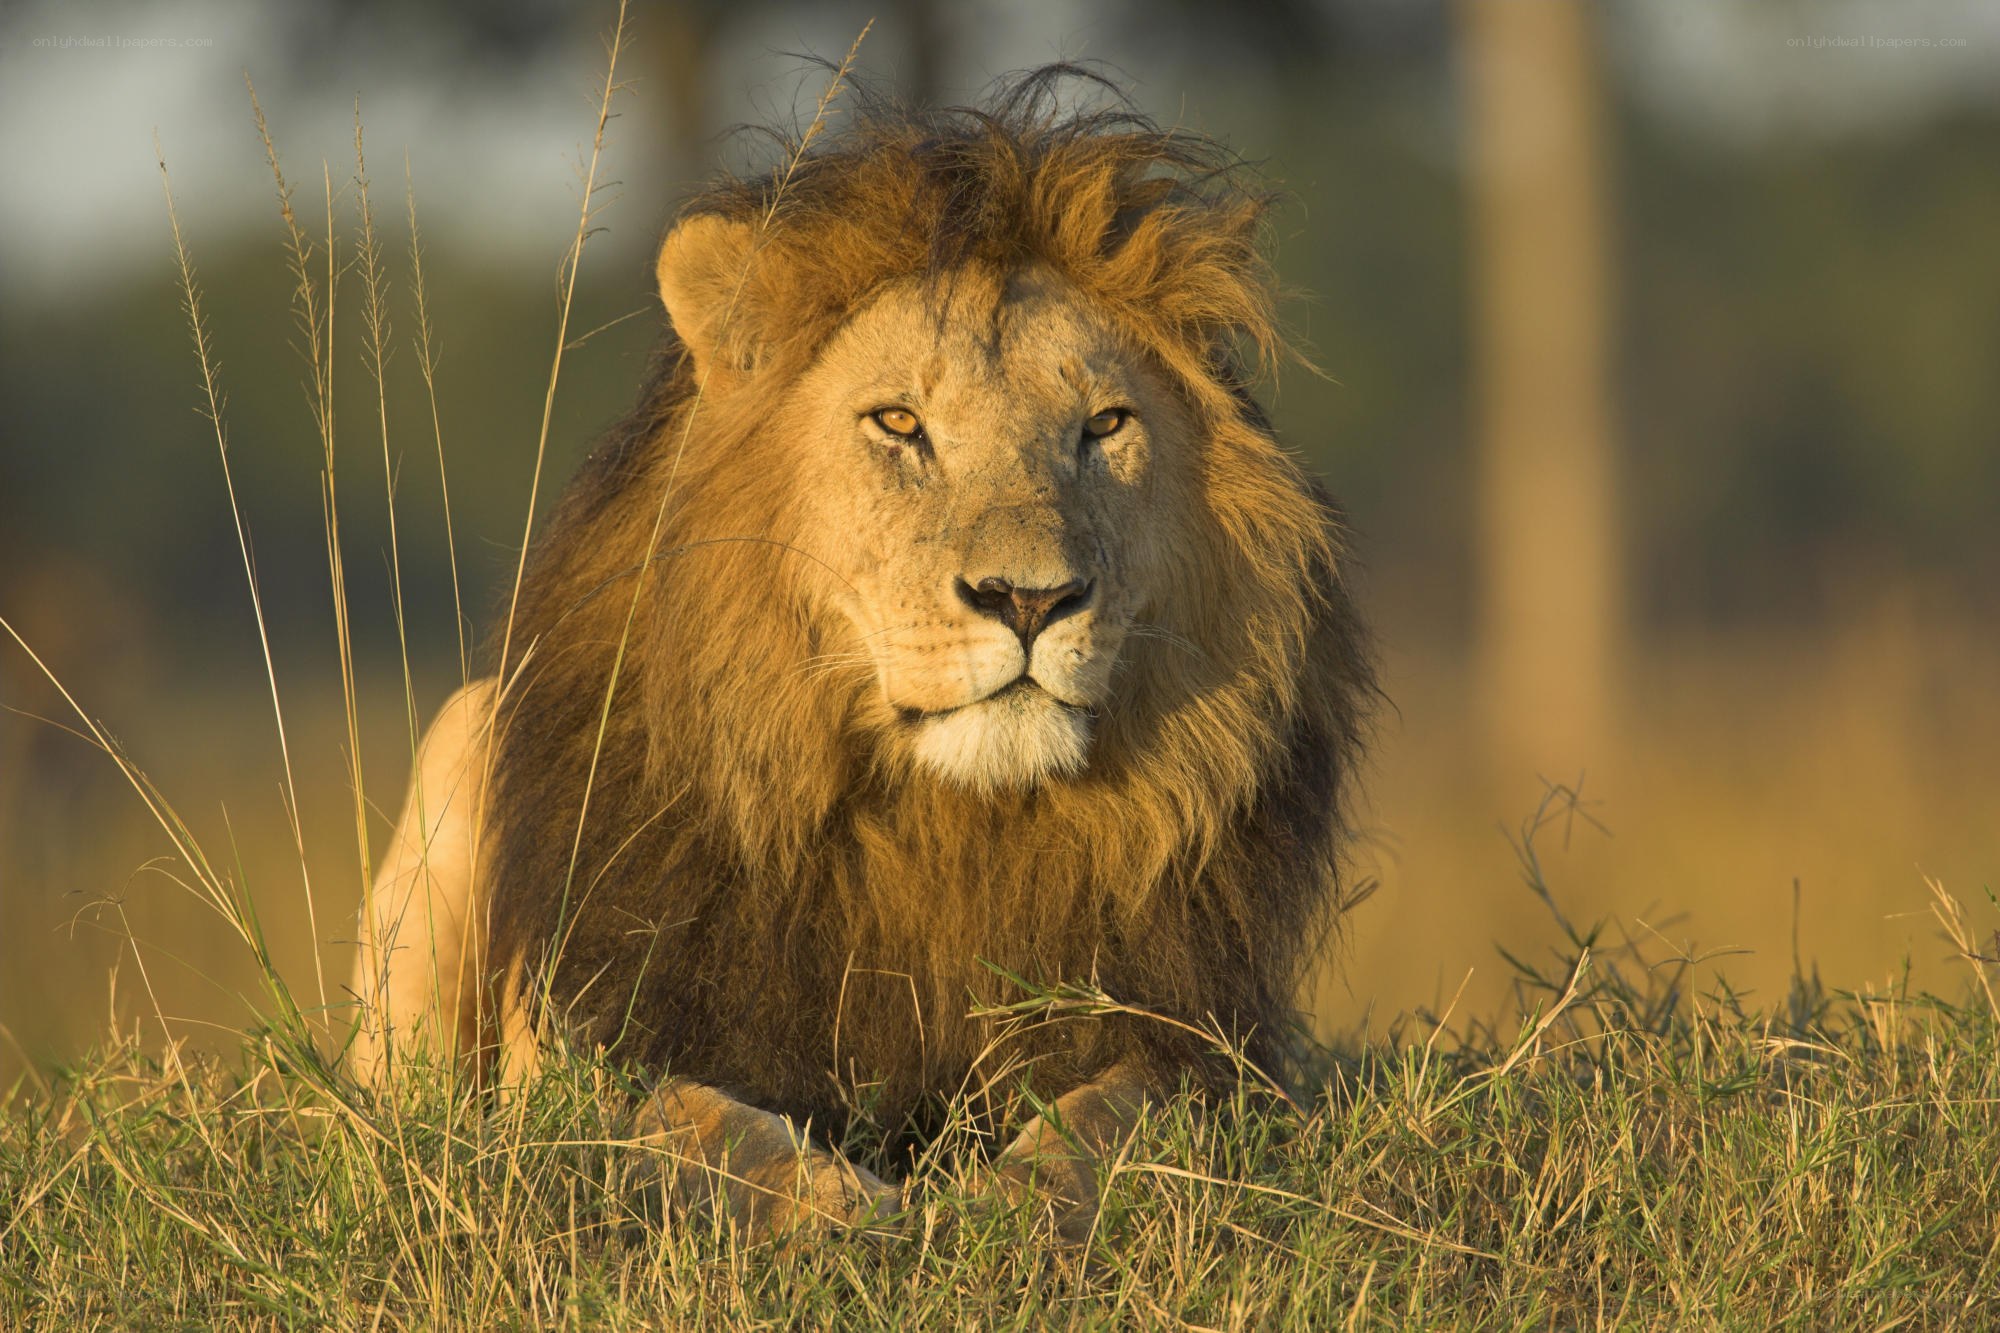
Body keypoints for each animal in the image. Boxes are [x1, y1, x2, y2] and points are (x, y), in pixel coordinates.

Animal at [351, 69, 1374, 1243]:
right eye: (898, 423)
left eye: (1105, 425)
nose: (1029, 598)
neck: (948, 828)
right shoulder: (599, 1040)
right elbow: (699, 1124)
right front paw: (840, 1211)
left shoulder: (1202, 1043)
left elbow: (1112, 1116)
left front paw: (1007, 1206)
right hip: (460, 743)